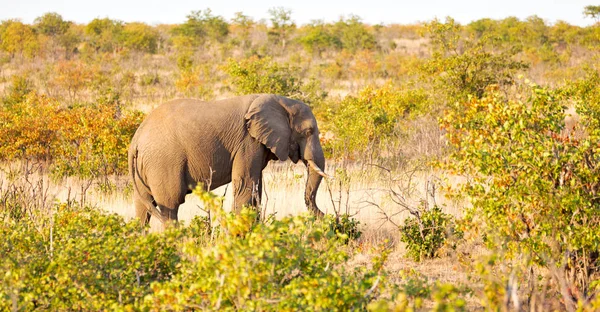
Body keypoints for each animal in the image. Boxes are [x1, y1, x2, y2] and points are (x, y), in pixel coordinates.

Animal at [127, 94, 328, 228]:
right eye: (309, 131)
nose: (326, 215)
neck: (280, 102)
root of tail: (136, 140)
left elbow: (256, 188)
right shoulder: (248, 142)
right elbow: (245, 185)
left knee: (143, 208)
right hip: (163, 162)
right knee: (170, 205)